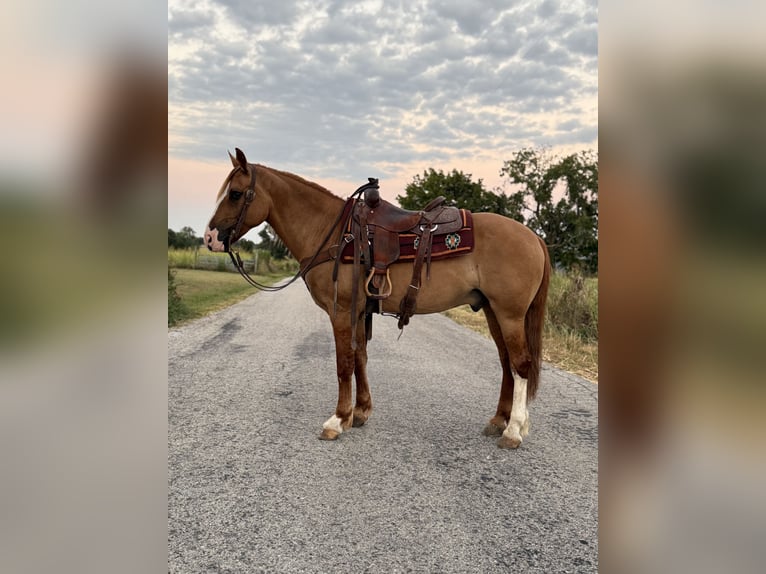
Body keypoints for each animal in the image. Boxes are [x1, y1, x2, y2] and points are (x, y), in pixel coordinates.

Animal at [204, 148, 551, 449]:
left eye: (235, 194)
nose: (210, 239)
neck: (333, 234)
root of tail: (533, 236)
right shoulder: (358, 311)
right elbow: (360, 358)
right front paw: (359, 413)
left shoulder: (341, 311)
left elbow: (344, 363)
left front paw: (337, 420)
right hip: (493, 311)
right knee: (506, 363)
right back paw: (498, 421)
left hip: (509, 314)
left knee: (520, 364)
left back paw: (514, 430)